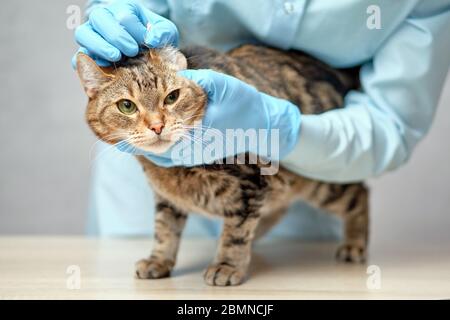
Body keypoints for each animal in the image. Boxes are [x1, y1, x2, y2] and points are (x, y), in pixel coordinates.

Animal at [75, 44, 368, 284]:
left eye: (172, 97)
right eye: (126, 106)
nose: (157, 126)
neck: (175, 172)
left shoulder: (250, 183)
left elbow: (236, 232)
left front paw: (227, 265)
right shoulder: (167, 198)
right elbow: (164, 231)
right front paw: (158, 260)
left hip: (321, 179)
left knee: (359, 194)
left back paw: (355, 244)